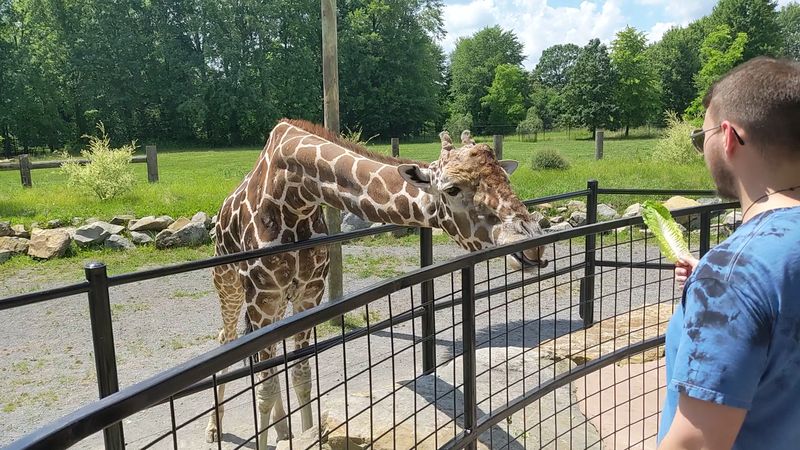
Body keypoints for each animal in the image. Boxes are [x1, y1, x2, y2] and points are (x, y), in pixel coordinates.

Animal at [205, 119, 548, 448]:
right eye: (452, 189)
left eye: (505, 178)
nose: (534, 247)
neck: (295, 197)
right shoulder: (264, 295)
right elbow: (266, 390)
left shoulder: (309, 292)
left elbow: (300, 376)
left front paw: (303, 434)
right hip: (231, 284)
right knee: (226, 336)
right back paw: (214, 428)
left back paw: (282, 431)